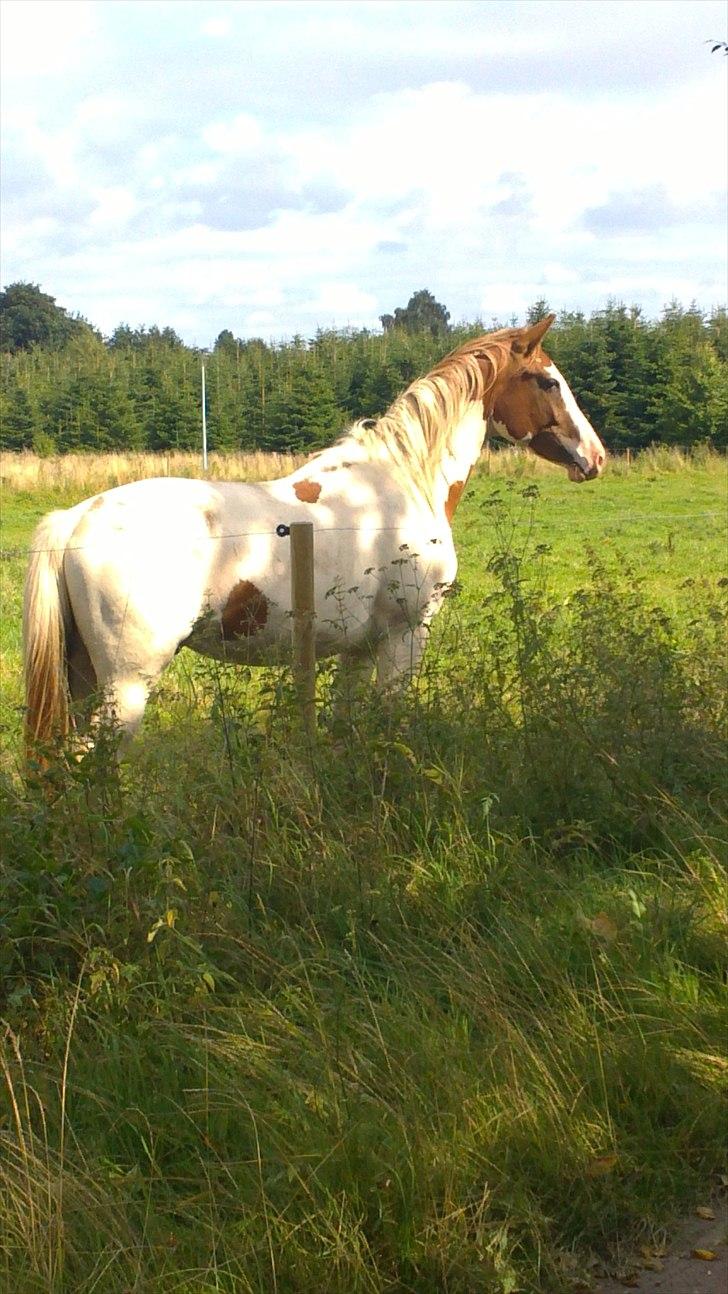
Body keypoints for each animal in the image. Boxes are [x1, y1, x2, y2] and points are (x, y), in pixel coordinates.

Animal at [22, 310, 607, 750]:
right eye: (548, 381)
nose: (596, 456)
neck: (402, 479)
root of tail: (76, 518)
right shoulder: (404, 636)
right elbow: (391, 720)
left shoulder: (358, 647)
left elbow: (348, 725)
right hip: (125, 686)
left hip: (83, 678)